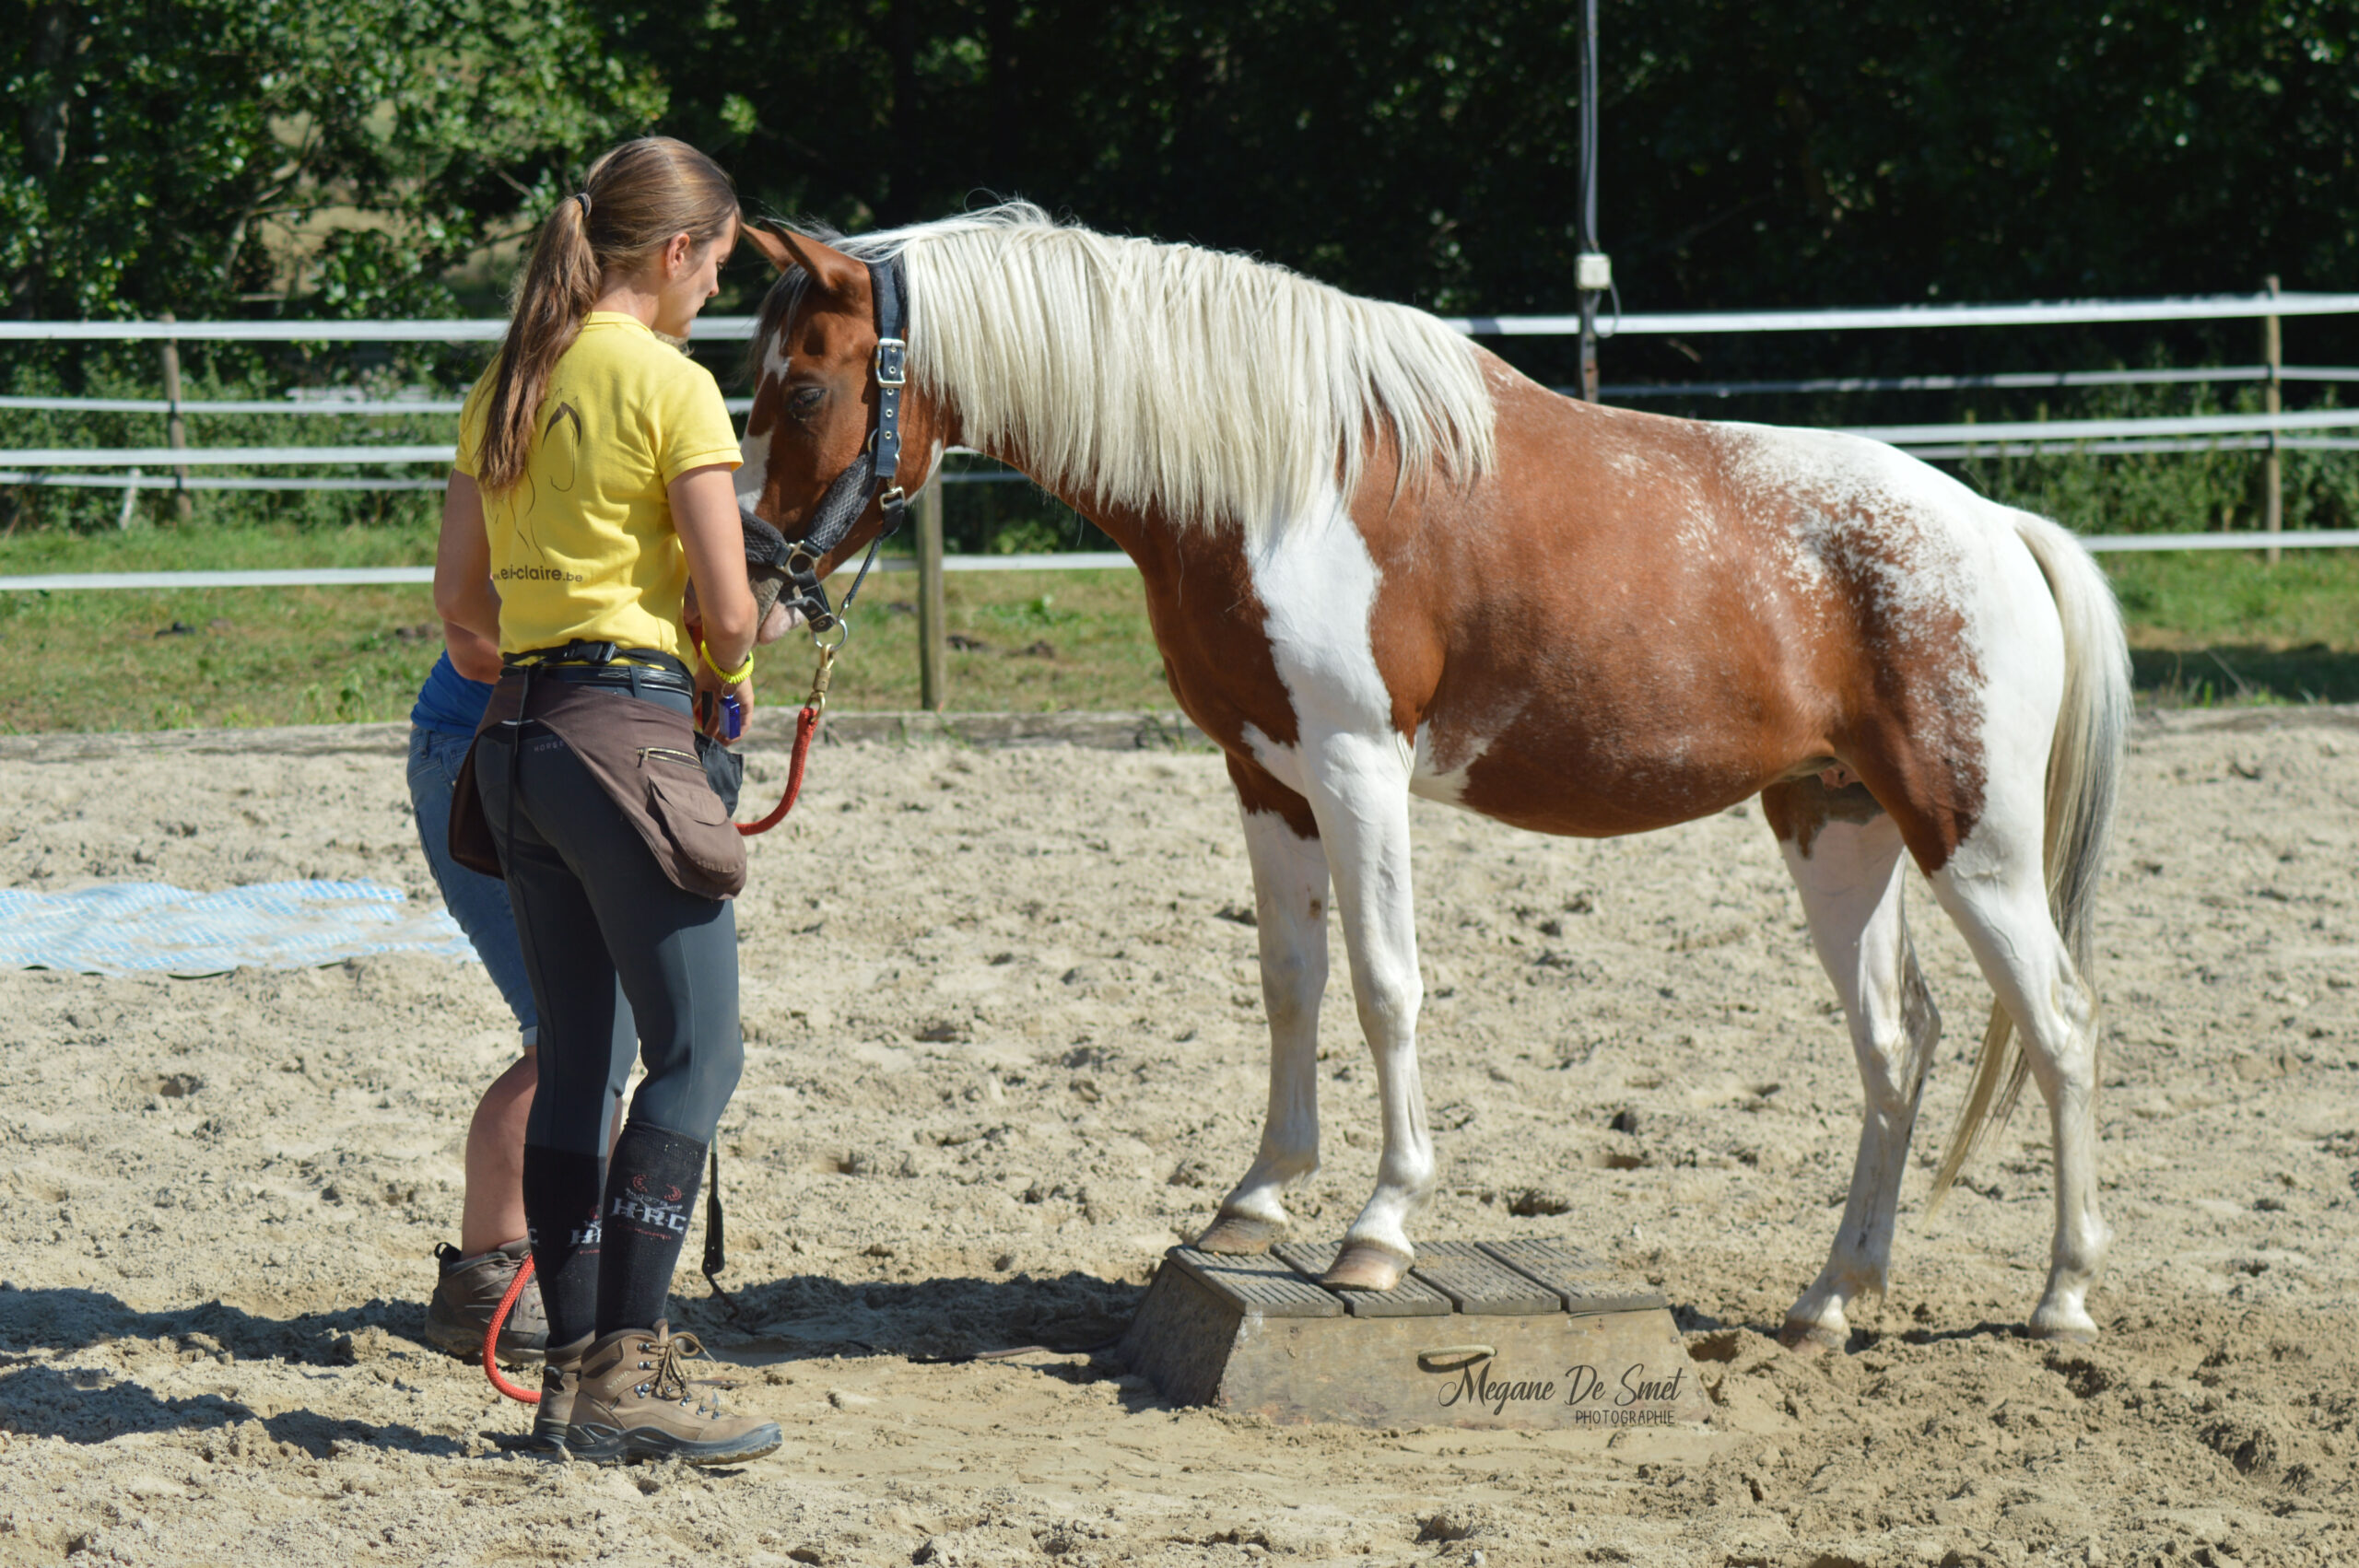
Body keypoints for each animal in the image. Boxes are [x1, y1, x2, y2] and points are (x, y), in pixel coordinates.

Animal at [726, 205, 2132, 1348]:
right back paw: (1831, 1298)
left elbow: (1384, 985)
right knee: (1896, 1044)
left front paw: (1379, 1229)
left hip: (1971, 840)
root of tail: (1996, 528)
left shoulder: (1360, 767)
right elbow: (1289, 981)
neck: (1279, 473)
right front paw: (1253, 1201)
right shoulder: (1267, 776)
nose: (755, 570)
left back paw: (2065, 1295)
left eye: (801, 388)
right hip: (1837, 828)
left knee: (2060, 1020)